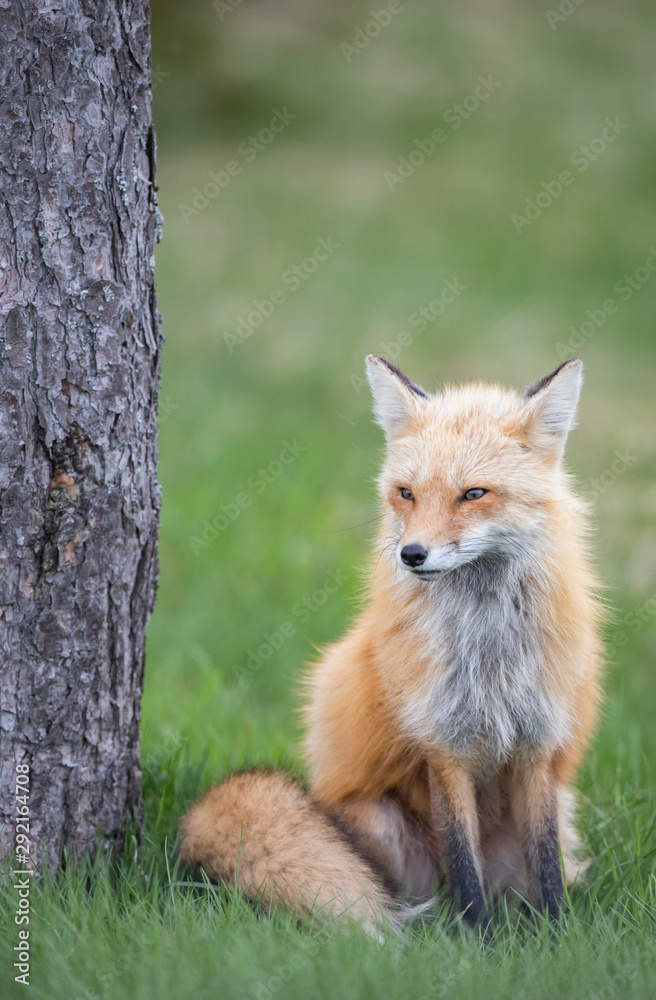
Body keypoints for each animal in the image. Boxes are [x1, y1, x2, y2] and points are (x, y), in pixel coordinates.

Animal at [180, 355, 603, 937]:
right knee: (429, 892)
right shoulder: (442, 744)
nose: (412, 554)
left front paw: (558, 940)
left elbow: (548, 869)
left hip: (559, 809)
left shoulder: (538, 743)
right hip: (382, 825)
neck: (487, 650)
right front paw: (482, 944)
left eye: (474, 494)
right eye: (406, 493)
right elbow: (465, 870)